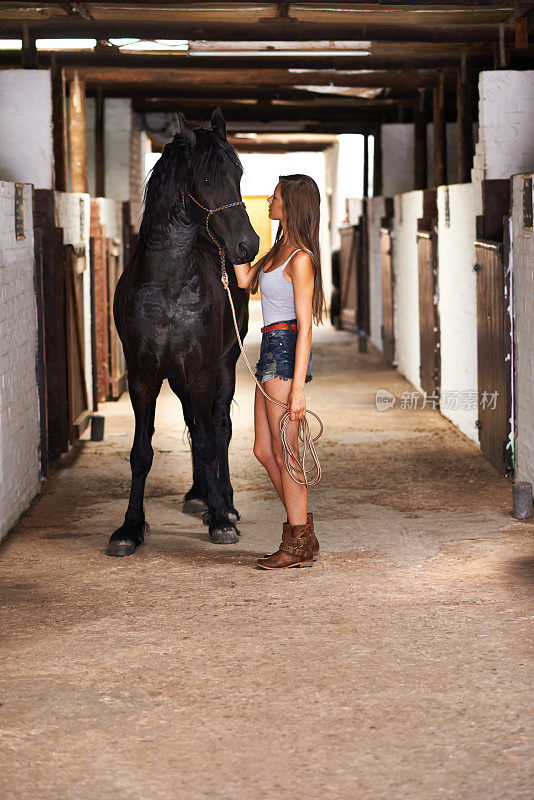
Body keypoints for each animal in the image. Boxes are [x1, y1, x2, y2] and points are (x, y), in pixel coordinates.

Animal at [107, 106, 260, 556]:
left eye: (238, 174)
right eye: (207, 180)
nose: (248, 245)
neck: (167, 288)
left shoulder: (202, 372)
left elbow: (210, 441)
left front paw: (221, 520)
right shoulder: (143, 377)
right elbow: (141, 453)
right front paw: (129, 528)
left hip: (222, 367)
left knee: (219, 428)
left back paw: (224, 503)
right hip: (178, 379)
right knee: (196, 422)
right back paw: (199, 496)